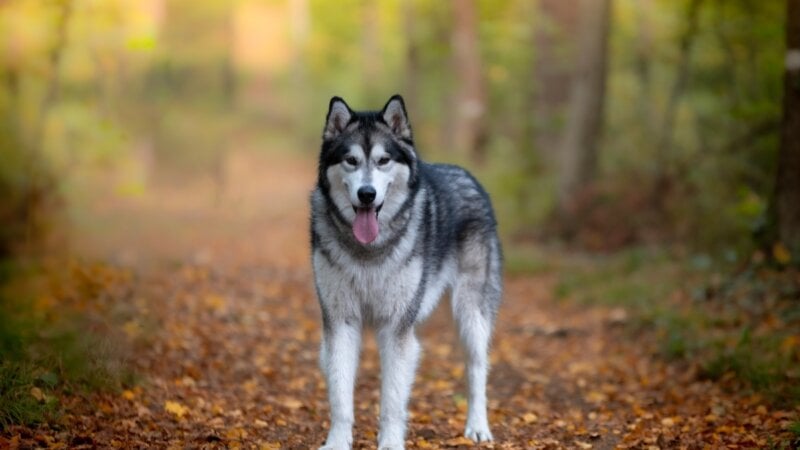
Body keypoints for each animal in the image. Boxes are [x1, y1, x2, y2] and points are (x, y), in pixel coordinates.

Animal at [310, 95, 504, 450]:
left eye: (384, 160)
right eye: (351, 160)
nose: (367, 194)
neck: (368, 250)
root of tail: (466, 173)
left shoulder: (396, 327)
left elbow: (391, 400)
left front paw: (389, 443)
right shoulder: (340, 321)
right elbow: (340, 396)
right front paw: (337, 442)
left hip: (471, 314)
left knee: (476, 369)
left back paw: (478, 426)